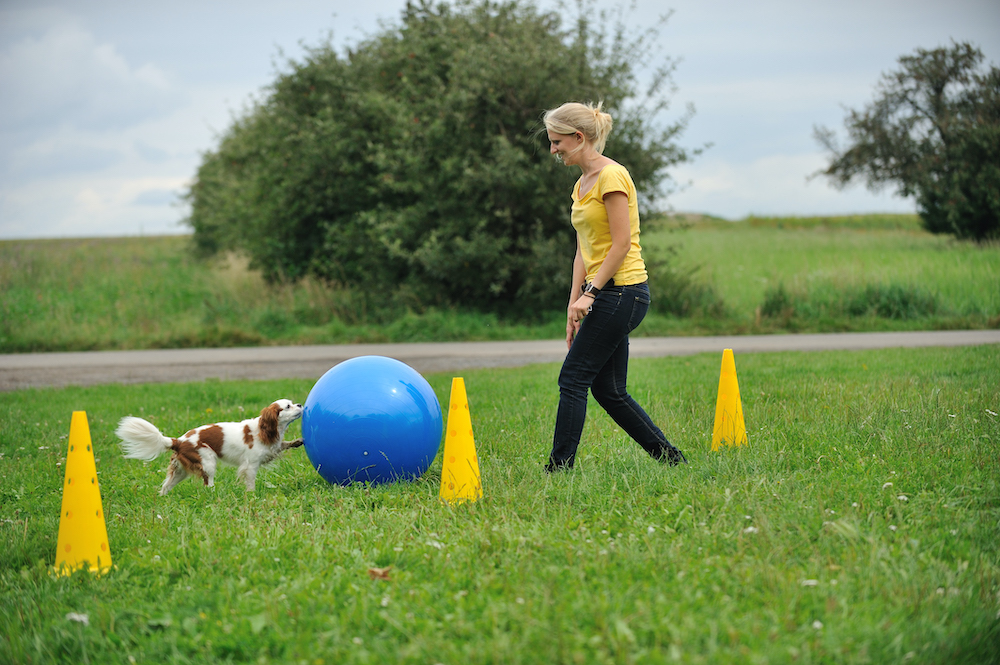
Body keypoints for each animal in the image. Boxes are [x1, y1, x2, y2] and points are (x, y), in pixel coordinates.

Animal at [115, 394, 302, 492]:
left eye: (293, 403)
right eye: (288, 406)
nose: (300, 404)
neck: (265, 429)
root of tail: (178, 441)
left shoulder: (272, 449)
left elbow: (283, 445)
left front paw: (297, 441)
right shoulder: (250, 466)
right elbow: (250, 483)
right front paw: (251, 495)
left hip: (180, 472)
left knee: (166, 487)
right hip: (208, 461)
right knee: (208, 484)